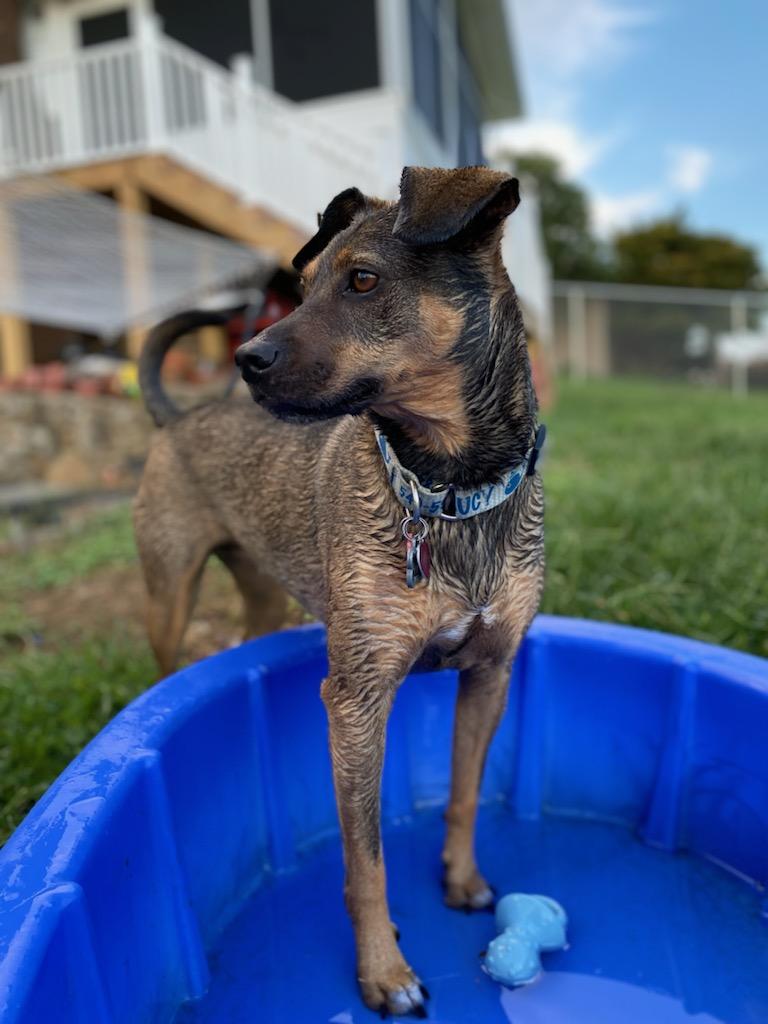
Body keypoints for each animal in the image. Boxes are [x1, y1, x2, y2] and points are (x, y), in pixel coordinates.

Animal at [137, 165, 548, 1015]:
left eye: (363, 280)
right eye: (302, 286)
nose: (247, 357)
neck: (445, 492)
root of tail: (178, 419)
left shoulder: (491, 674)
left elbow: (464, 793)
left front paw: (462, 879)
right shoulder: (356, 702)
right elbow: (367, 863)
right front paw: (383, 973)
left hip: (262, 592)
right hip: (169, 593)